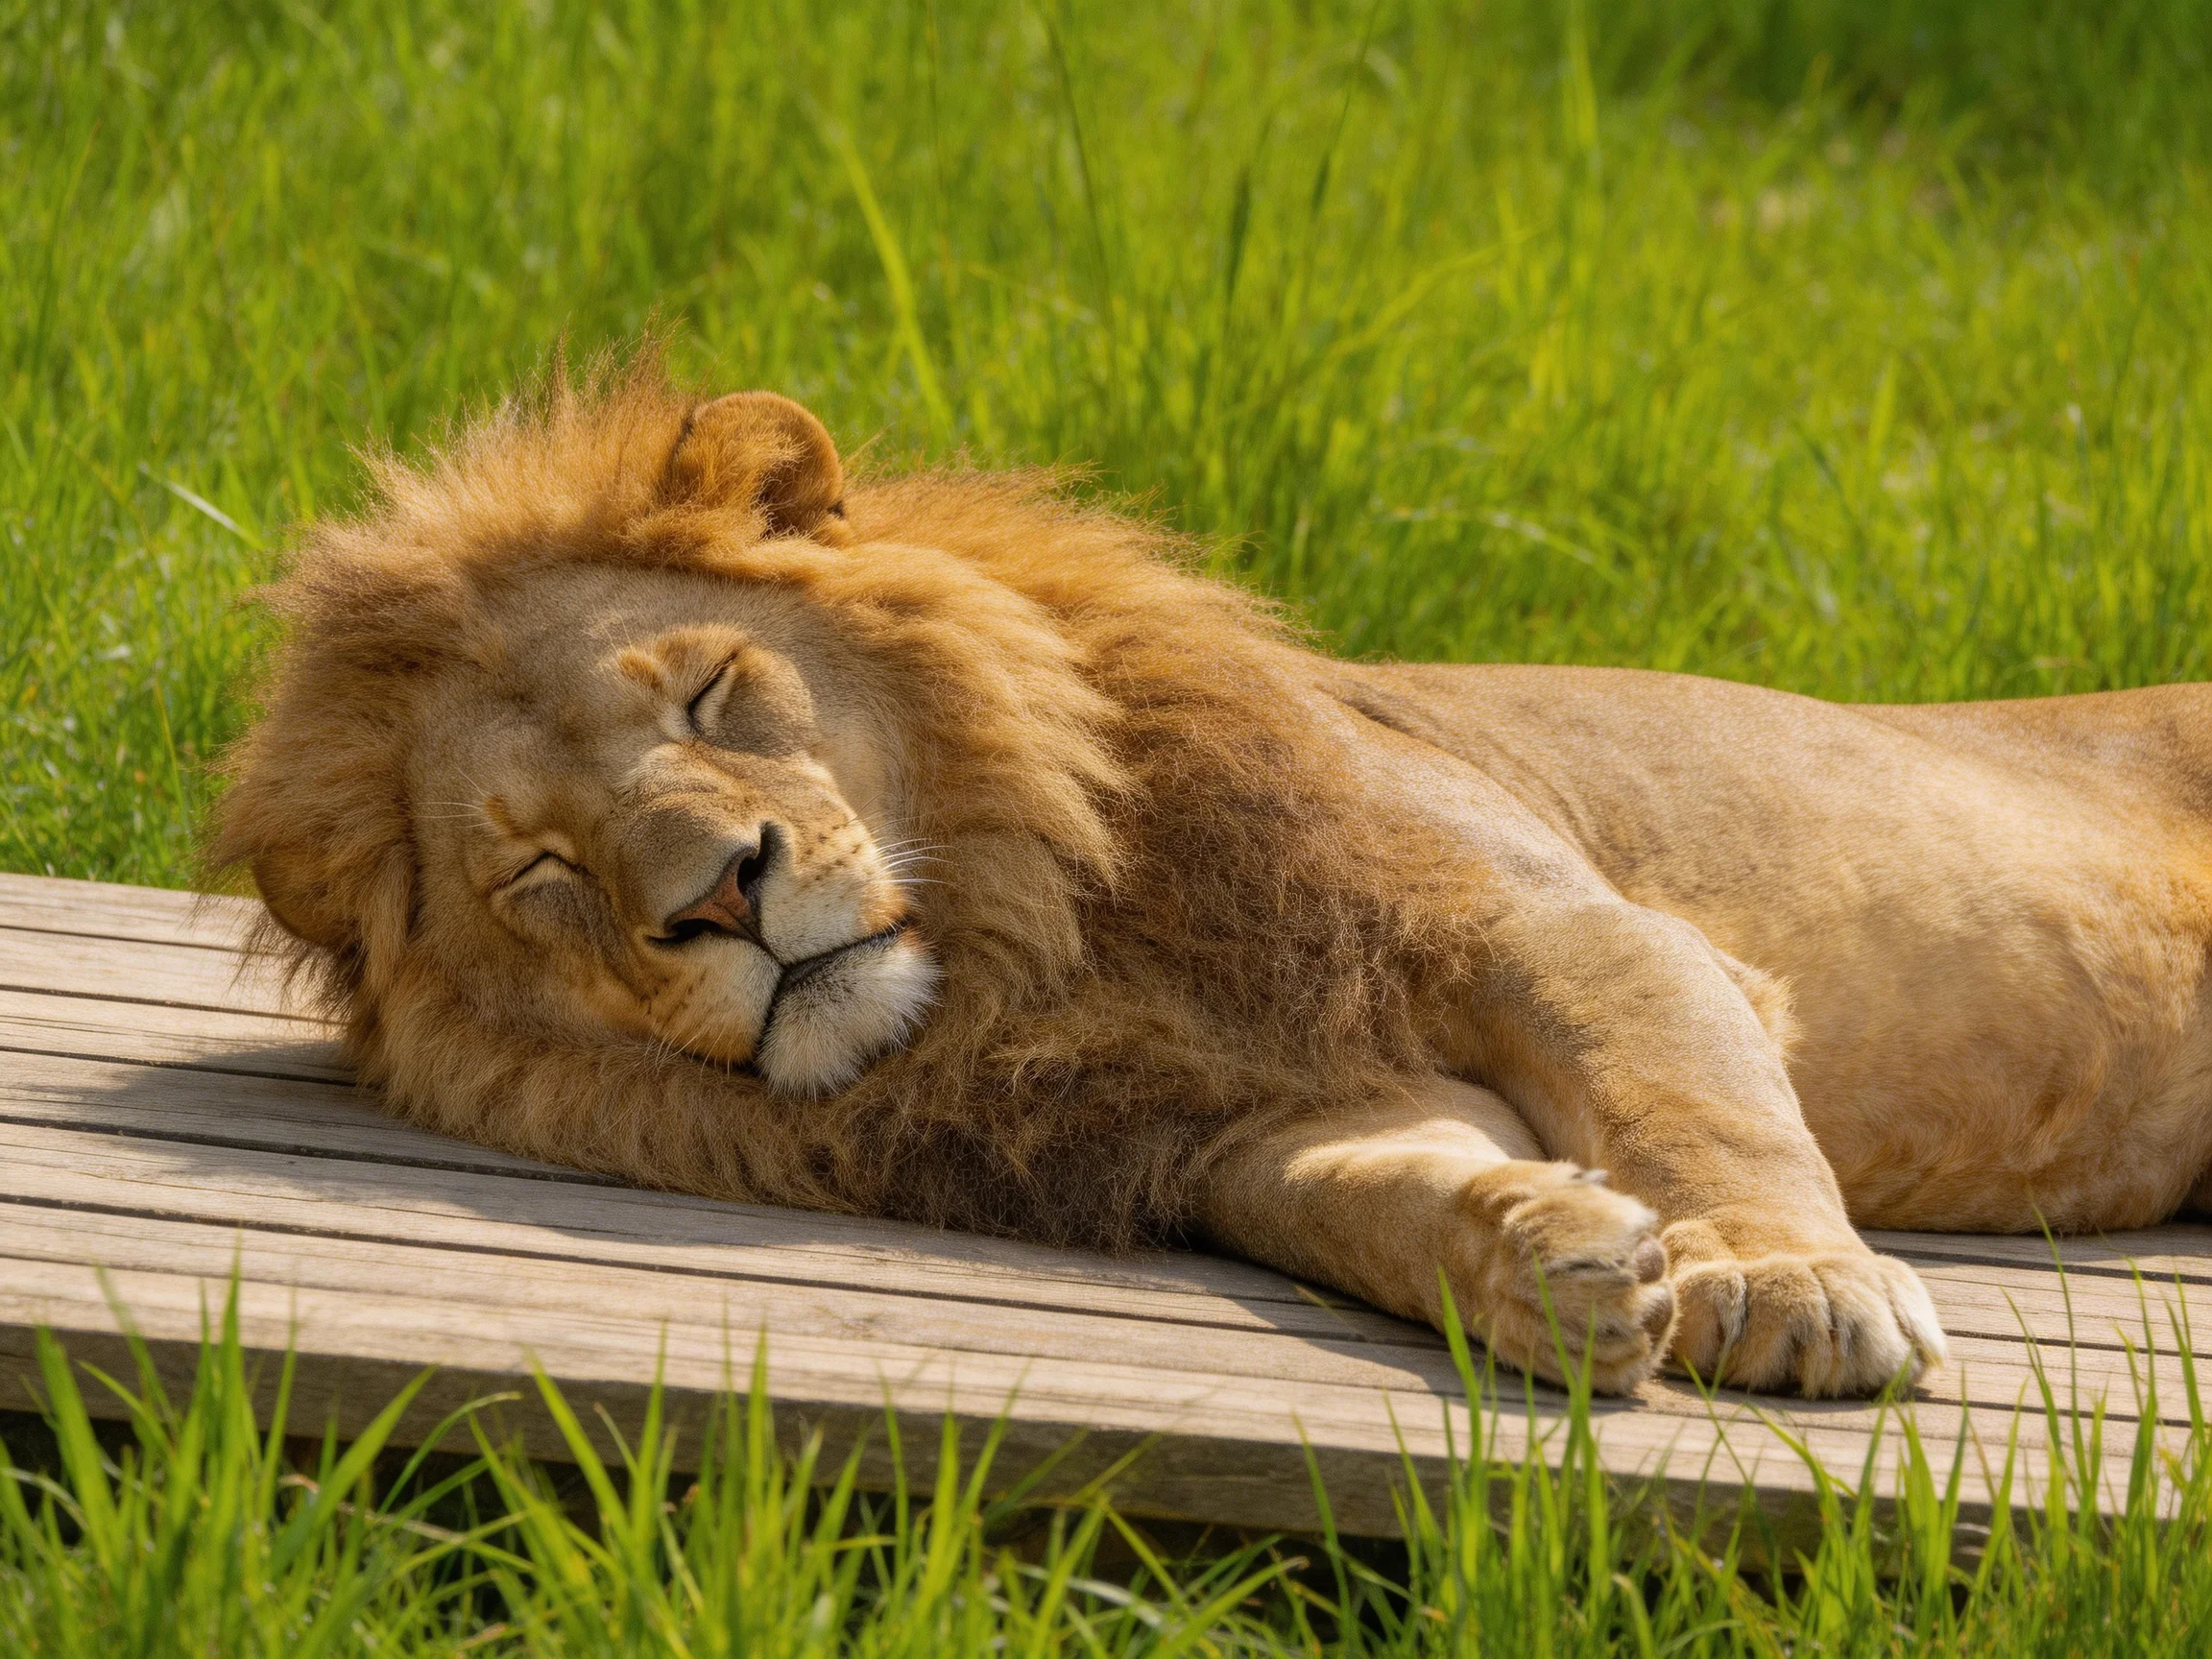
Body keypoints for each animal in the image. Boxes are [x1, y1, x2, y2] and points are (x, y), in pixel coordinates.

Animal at [213, 362, 2212, 1401]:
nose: (722, 891)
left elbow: (1692, 1101)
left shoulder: (1557, 922)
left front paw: (1791, 1283)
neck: (1031, 954)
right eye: (542, 870)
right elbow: (1367, 1193)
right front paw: (1539, 1254)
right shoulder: (1230, 1115)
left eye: (706, 691)